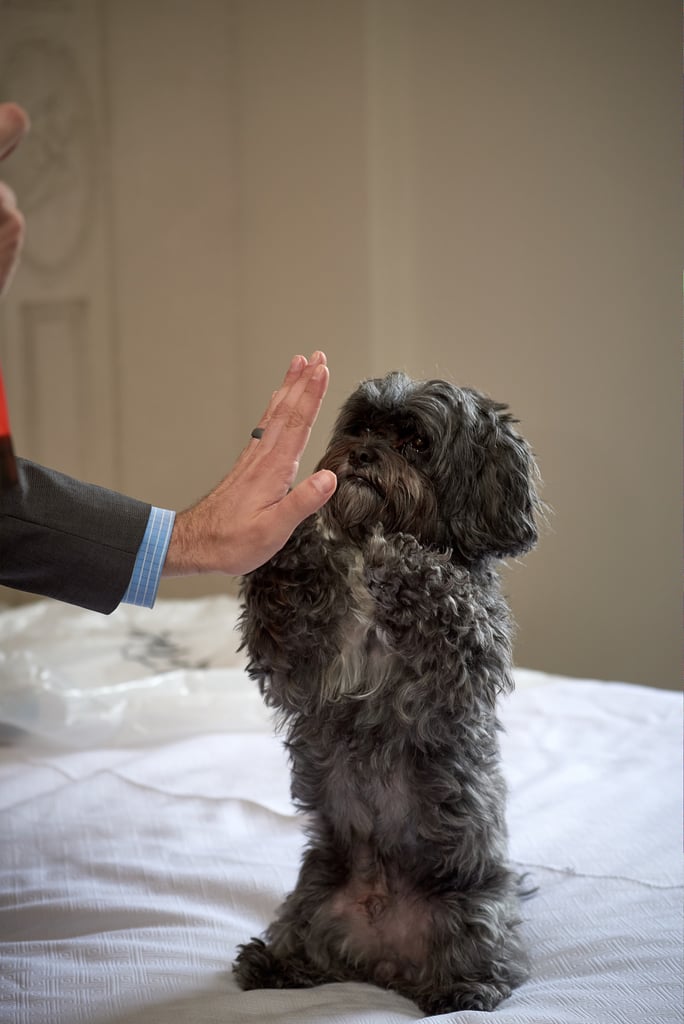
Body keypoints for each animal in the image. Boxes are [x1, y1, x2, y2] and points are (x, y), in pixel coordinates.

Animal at [232, 372, 540, 1011]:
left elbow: (446, 596)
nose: (364, 455)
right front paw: (292, 537)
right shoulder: (301, 669)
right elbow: (284, 623)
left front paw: (404, 560)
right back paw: (274, 964)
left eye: (416, 442)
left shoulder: (463, 666)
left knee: (484, 962)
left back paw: (463, 988)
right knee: (307, 948)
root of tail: (384, 960)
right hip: (312, 896)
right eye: (363, 428)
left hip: (473, 904)